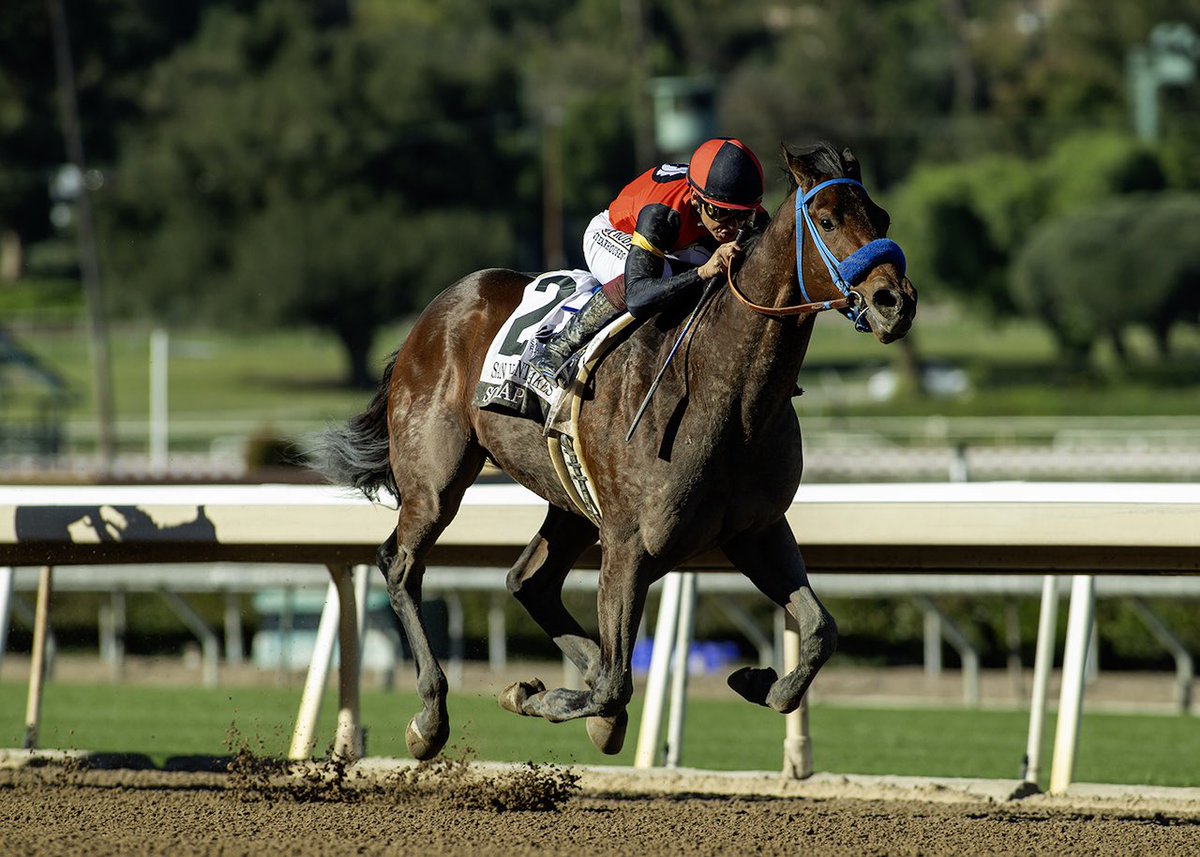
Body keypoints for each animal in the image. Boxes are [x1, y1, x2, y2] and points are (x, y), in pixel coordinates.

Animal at [314, 142, 917, 761]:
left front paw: (759, 681)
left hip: (572, 501)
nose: (895, 302)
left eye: (883, 218)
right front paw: (538, 696)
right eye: (827, 220)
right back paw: (431, 715)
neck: (726, 392)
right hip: (436, 481)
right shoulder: (631, 544)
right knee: (401, 564)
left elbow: (820, 631)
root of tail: (435, 311)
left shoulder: (756, 530)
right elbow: (613, 684)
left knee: (529, 581)